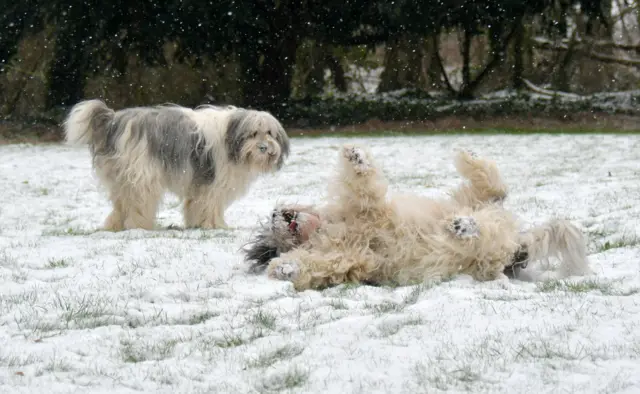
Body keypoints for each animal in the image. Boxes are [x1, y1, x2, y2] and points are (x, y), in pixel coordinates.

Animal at [63, 98, 288, 232]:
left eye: (270, 133)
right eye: (253, 133)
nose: (263, 148)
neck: (230, 137)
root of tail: (114, 122)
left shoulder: (199, 185)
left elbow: (195, 205)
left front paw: (197, 224)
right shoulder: (213, 183)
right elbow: (210, 205)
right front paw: (216, 225)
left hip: (121, 178)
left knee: (121, 204)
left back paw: (116, 226)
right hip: (141, 175)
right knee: (137, 202)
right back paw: (140, 226)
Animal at [242, 143, 592, 290]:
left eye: (271, 225)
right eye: (273, 245)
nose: (275, 213)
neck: (326, 230)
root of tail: (518, 247)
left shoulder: (367, 209)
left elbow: (362, 185)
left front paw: (356, 158)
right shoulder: (349, 260)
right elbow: (316, 265)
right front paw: (286, 267)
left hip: (465, 203)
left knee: (494, 190)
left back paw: (471, 162)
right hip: (481, 255)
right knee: (484, 229)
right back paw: (464, 227)